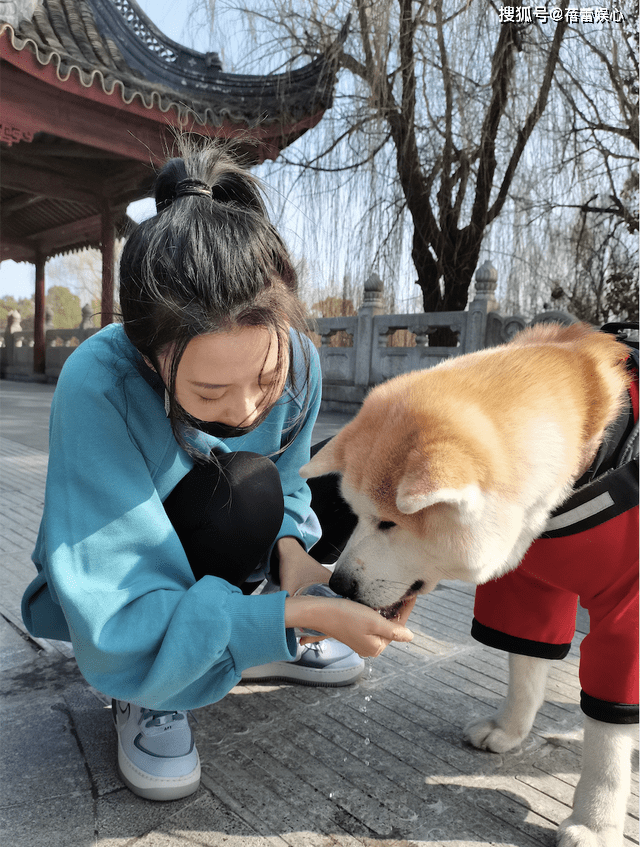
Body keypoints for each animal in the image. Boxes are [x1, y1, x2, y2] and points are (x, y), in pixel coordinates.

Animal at [302, 322, 636, 844]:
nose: (339, 584)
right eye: (353, 513)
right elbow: (525, 672)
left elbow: (607, 736)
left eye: (388, 523)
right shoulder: (530, 591)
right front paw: (510, 732)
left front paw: (595, 823)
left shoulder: (627, 614)